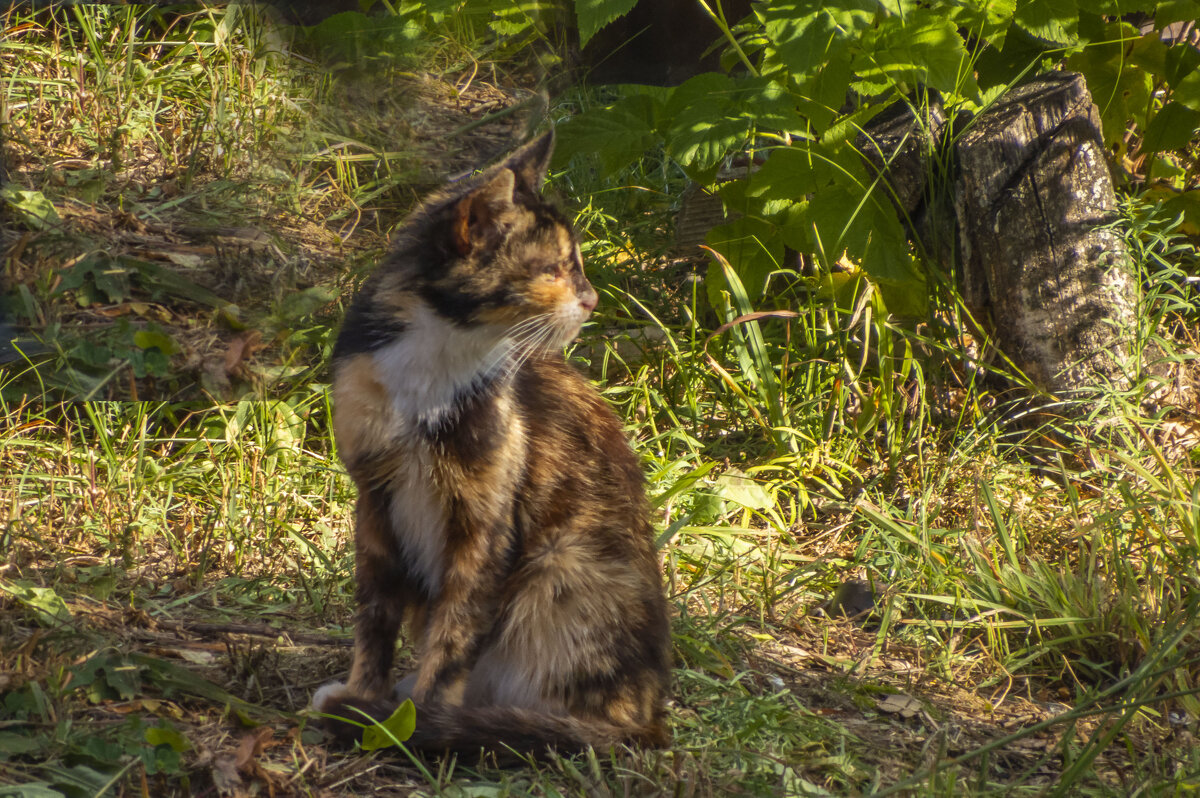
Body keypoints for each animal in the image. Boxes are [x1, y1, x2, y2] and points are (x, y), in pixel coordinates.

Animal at [312, 129, 676, 753]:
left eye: (578, 265)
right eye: (554, 269)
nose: (592, 299)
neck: (437, 358)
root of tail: (650, 715)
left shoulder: (484, 521)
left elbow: (457, 630)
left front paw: (417, 719)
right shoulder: (375, 498)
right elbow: (375, 615)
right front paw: (366, 696)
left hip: (561, 563)